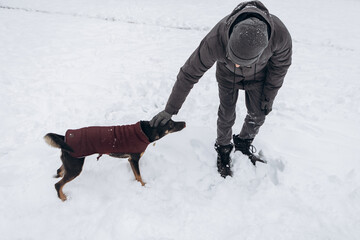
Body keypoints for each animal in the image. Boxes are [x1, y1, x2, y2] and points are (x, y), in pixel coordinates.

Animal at [44, 119, 186, 201]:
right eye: (171, 124)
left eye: (172, 120)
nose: (184, 122)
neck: (145, 131)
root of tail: (64, 137)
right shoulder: (134, 159)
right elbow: (139, 176)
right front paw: (144, 186)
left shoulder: (130, 160)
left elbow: (136, 176)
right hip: (76, 167)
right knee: (58, 185)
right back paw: (63, 198)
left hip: (70, 163)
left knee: (59, 171)